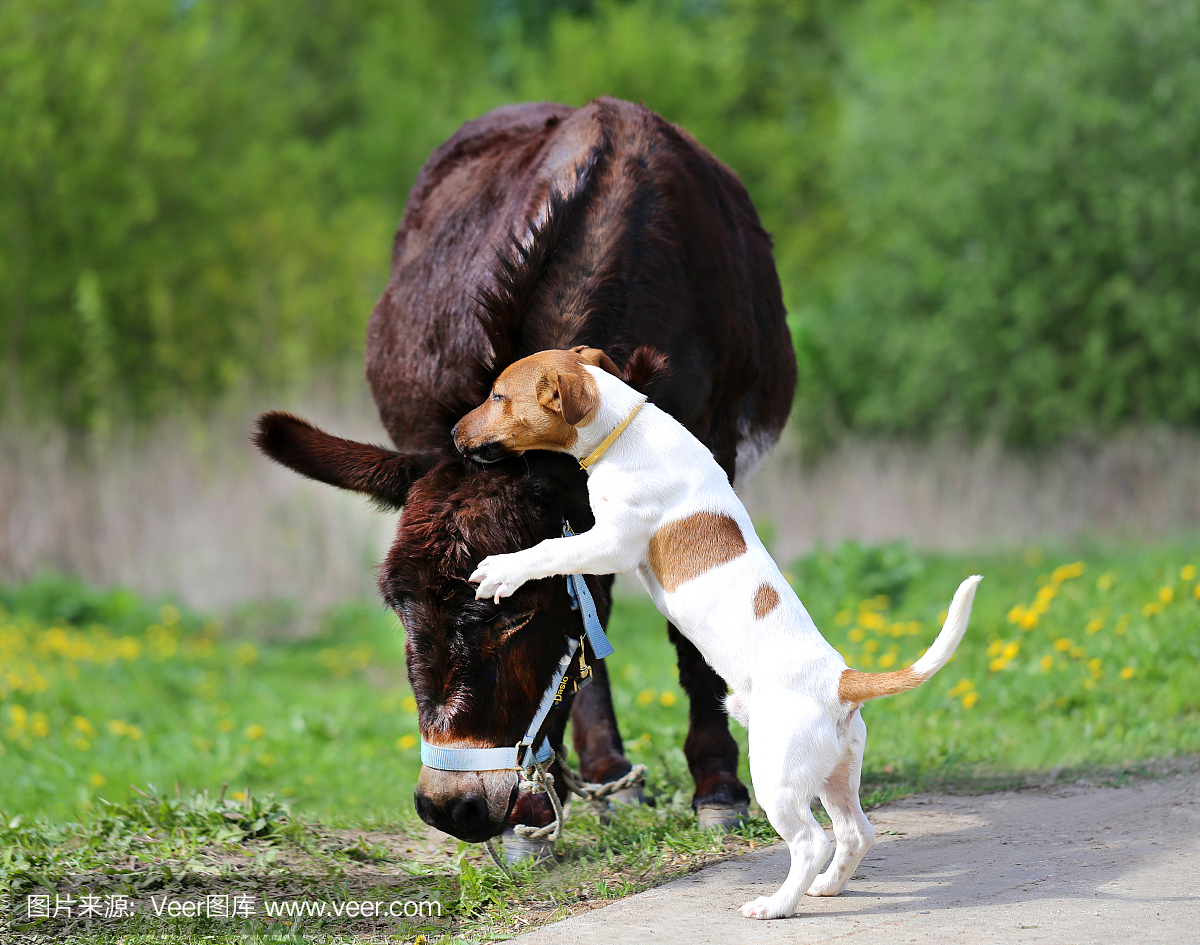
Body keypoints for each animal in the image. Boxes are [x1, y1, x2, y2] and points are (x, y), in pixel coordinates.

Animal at [453, 345, 979, 916]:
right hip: (834, 773)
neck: (623, 426)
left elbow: (550, 550)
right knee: (856, 831)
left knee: (811, 841)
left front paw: (502, 570)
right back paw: (827, 886)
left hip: (777, 776)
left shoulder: (613, 542)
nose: (454, 433)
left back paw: (777, 905)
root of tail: (841, 681)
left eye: (498, 396)